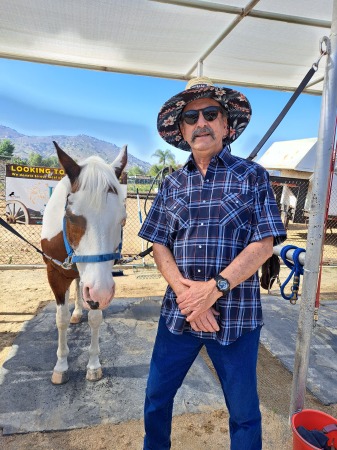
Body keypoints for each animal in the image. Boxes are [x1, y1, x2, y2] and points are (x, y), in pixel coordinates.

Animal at [40, 142, 126, 384]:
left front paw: (93, 364)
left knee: (80, 287)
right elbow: (60, 318)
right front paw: (61, 366)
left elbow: (95, 317)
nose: (100, 292)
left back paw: (79, 310)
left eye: (123, 220)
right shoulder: (54, 273)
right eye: (70, 217)